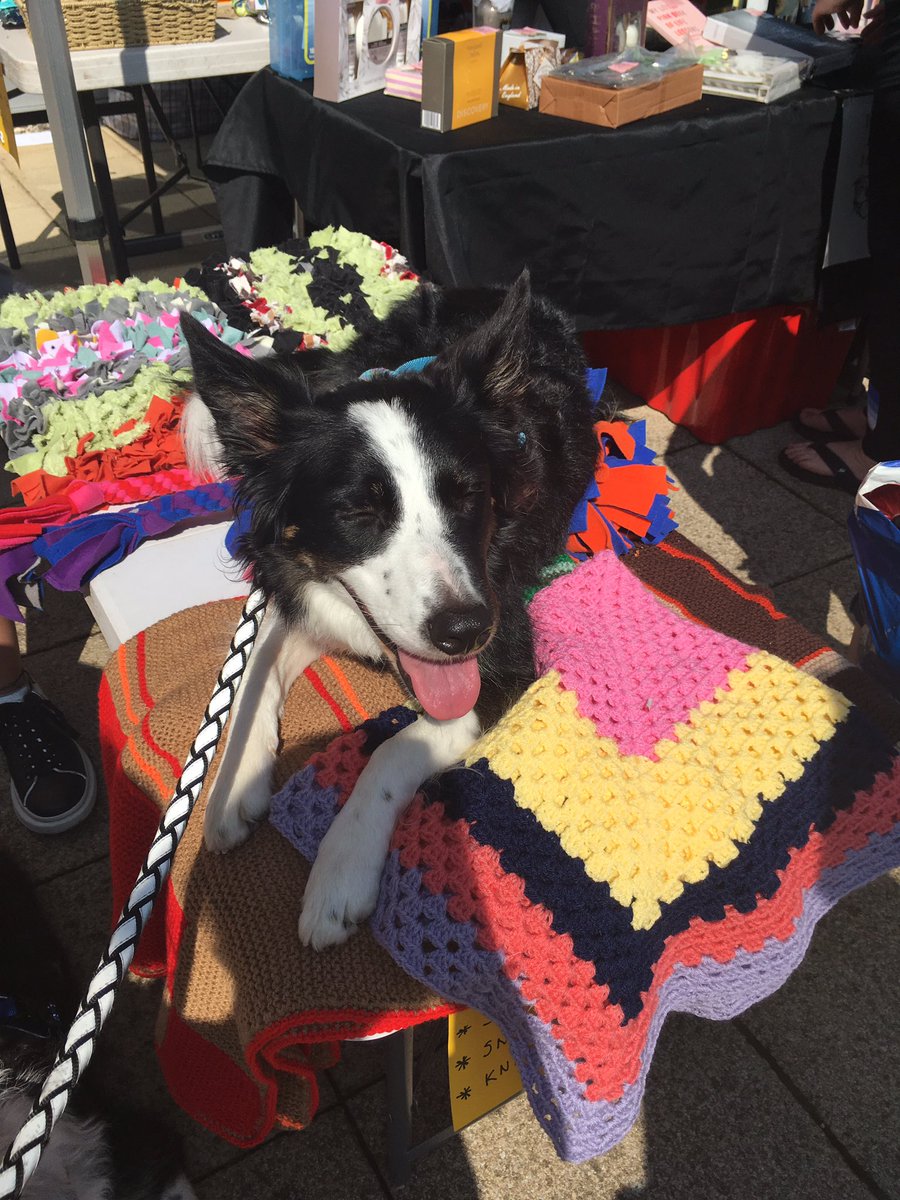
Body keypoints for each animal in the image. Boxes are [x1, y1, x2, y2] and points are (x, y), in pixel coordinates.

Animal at [181, 270, 602, 945]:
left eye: (468, 494)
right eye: (358, 510)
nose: (464, 632)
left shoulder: (506, 654)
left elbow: (392, 749)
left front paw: (338, 874)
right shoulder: (303, 592)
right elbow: (249, 674)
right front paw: (234, 783)